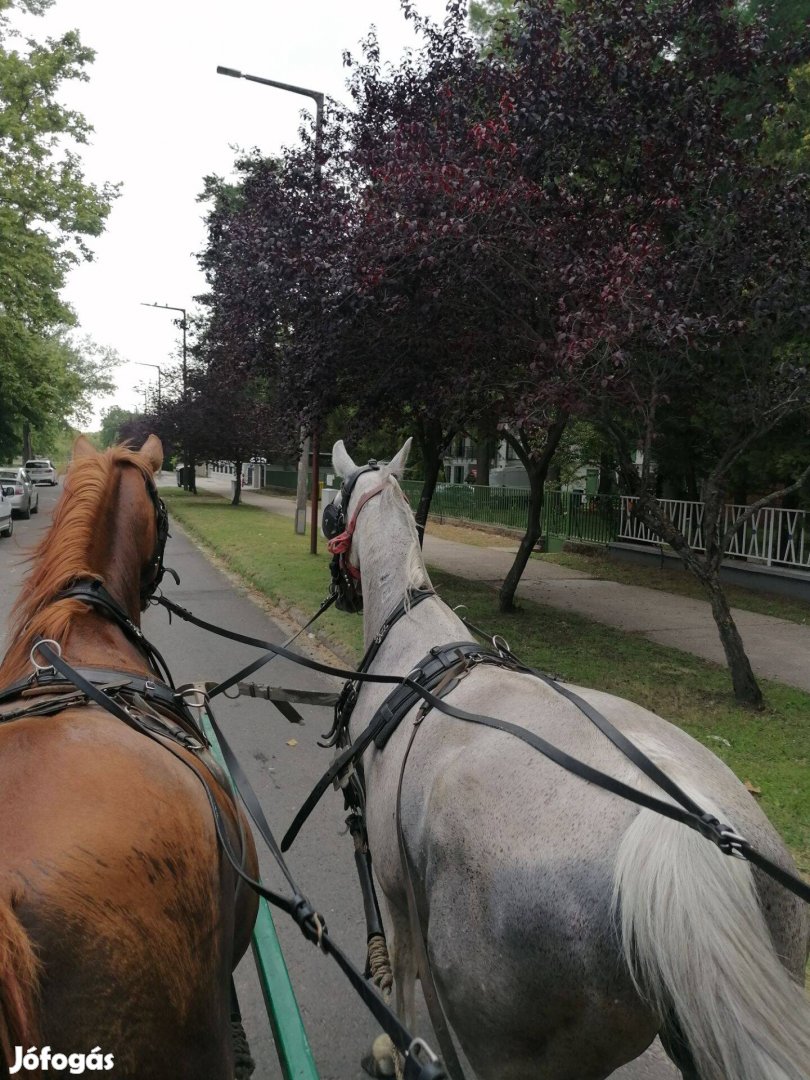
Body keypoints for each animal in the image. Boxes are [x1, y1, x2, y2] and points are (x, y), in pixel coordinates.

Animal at [330, 436, 810, 1080]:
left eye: (332, 507)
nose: (341, 589)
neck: (411, 639)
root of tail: (679, 838)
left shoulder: (395, 885)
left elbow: (404, 976)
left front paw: (396, 1049)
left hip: (507, 1040)